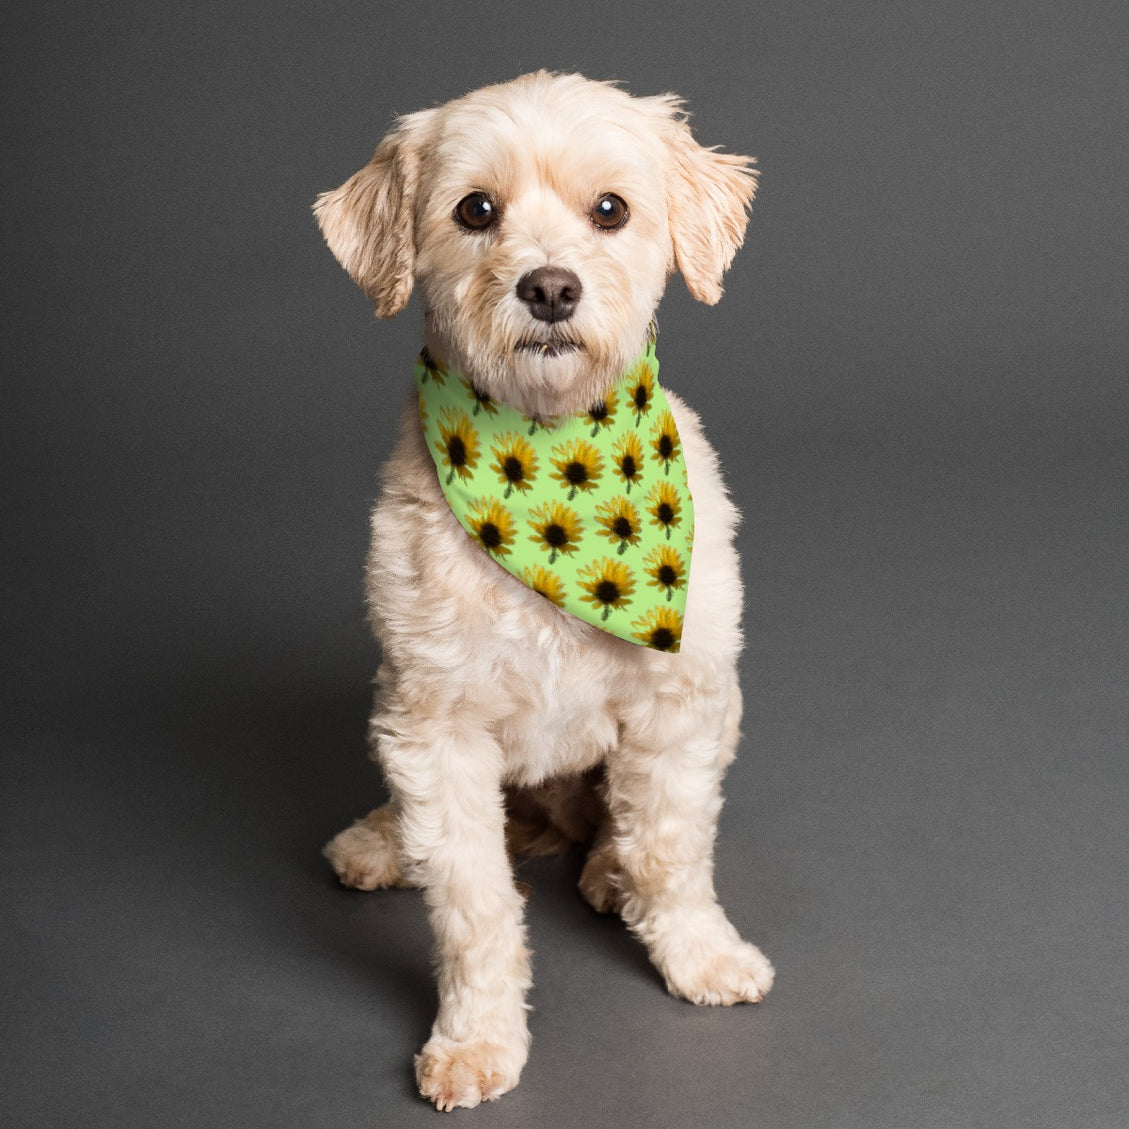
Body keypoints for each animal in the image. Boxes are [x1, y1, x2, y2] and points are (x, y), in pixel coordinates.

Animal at [313, 72, 772, 1110]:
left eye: (610, 210)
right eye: (475, 210)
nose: (551, 287)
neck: (552, 458)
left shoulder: (680, 703)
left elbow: (670, 846)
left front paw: (697, 951)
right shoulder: (434, 725)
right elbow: (471, 903)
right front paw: (476, 1037)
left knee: (618, 826)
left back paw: (605, 870)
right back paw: (382, 841)